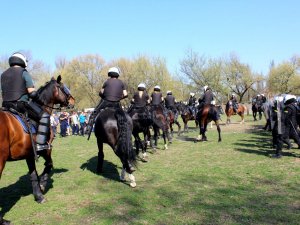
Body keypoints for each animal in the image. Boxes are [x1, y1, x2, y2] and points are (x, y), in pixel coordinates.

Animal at [0, 76, 75, 225]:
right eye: (64, 88)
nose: (72, 101)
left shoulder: (29, 154)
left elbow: (33, 174)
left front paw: (38, 195)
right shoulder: (46, 149)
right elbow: (49, 165)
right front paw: (43, 184)